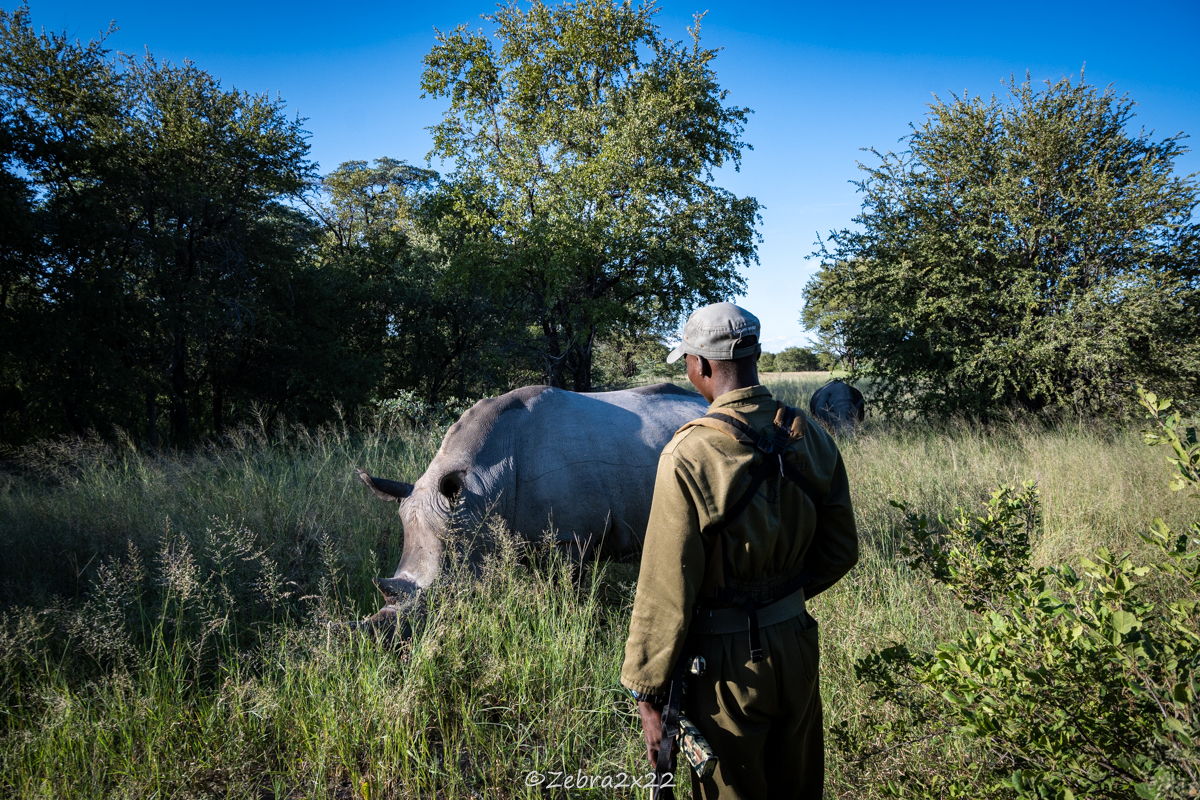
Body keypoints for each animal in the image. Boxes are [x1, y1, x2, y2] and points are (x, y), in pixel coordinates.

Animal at [356, 383, 708, 622]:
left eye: (442, 593)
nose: (395, 650)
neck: (479, 492)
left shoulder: (570, 535)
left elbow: (566, 592)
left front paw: (568, 624)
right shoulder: (525, 535)